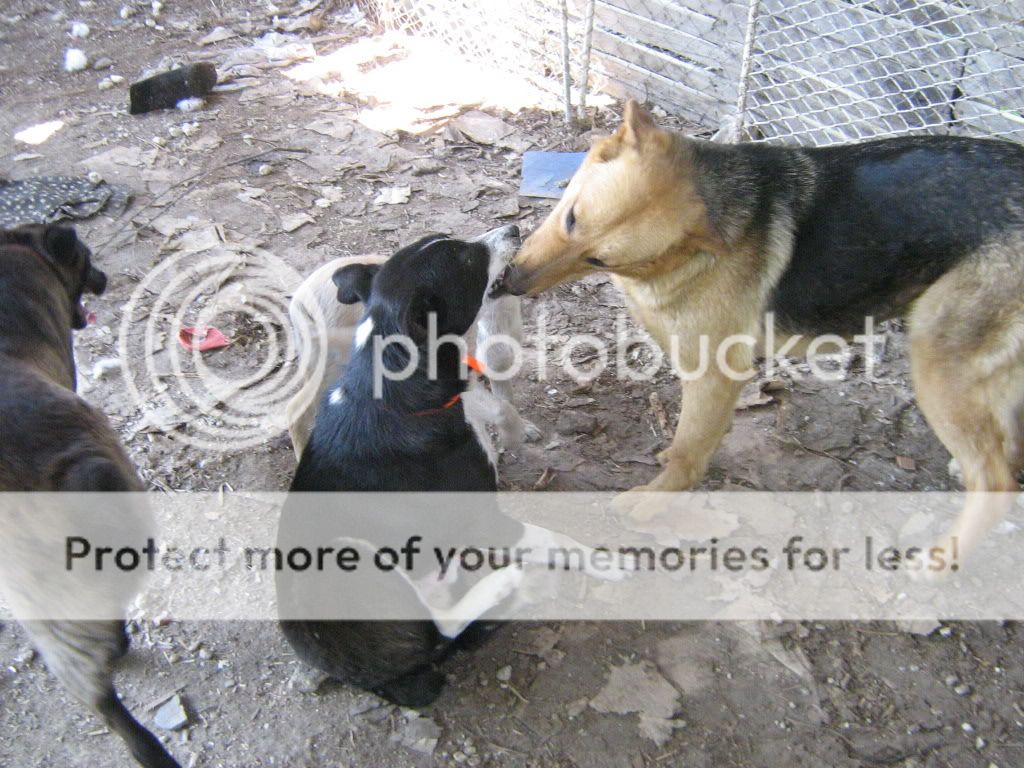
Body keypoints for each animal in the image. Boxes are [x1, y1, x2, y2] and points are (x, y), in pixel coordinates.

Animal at [280, 227, 626, 704]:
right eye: (464, 259)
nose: (512, 229)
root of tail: (376, 680)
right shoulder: (485, 517)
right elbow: (554, 538)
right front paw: (608, 563)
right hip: (353, 554)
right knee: (441, 630)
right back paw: (505, 582)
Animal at [491, 102, 1019, 557]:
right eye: (571, 217)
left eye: (600, 259)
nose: (509, 282)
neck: (680, 258)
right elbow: (693, 439)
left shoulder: (715, 374)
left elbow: (689, 450)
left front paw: (658, 498)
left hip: (938, 367)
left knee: (996, 482)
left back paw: (940, 559)